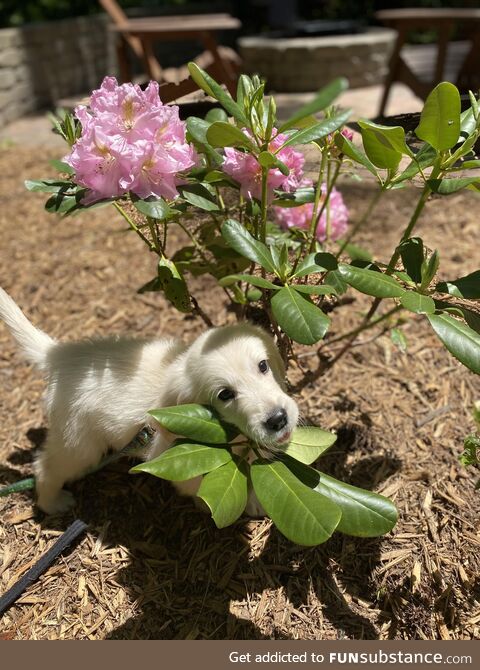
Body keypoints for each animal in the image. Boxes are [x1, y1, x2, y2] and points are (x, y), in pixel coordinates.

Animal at [0, 288, 298, 516]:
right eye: (225, 394)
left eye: (263, 366)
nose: (278, 419)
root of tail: (58, 354)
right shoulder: (176, 461)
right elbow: (202, 490)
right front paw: (242, 503)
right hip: (79, 444)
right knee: (44, 466)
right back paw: (53, 503)